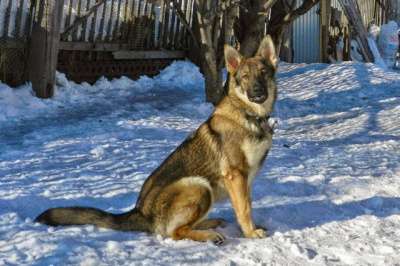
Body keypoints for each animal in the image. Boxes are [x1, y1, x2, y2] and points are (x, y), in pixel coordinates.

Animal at [36, 35, 278, 245]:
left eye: (263, 73)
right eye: (245, 77)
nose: (257, 92)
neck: (250, 116)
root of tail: (141, 211)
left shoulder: (245, 180)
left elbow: (246, 204)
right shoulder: (236, 175)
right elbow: (244, 209)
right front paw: (250, 233)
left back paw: (209, 223)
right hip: (199, 186)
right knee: (175, 232)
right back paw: (208, 235)